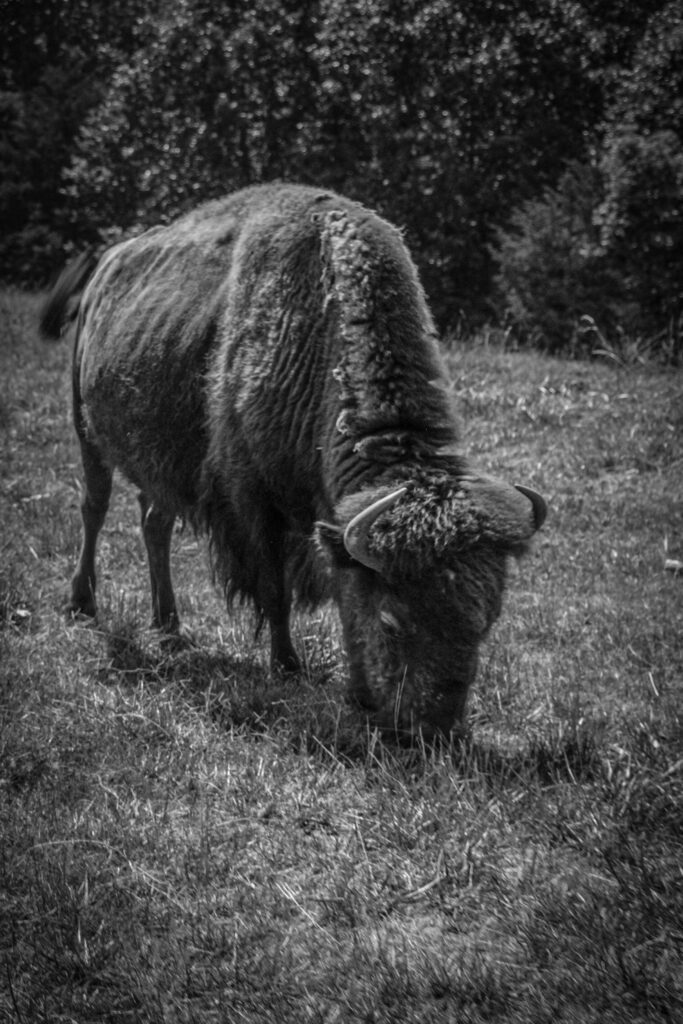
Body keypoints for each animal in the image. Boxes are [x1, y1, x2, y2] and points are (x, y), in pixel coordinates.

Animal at [40, 183, 546, 742]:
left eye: (485, 619)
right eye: (392, 621)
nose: (434, 730)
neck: (318, 333)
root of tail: (105, 267)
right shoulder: (257, 503)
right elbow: (274, 588)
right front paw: (286, 665)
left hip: (161, 466)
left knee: (155, 525)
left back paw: (169, 627)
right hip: (86, 431)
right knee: (94, 507)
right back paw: (82, 604)